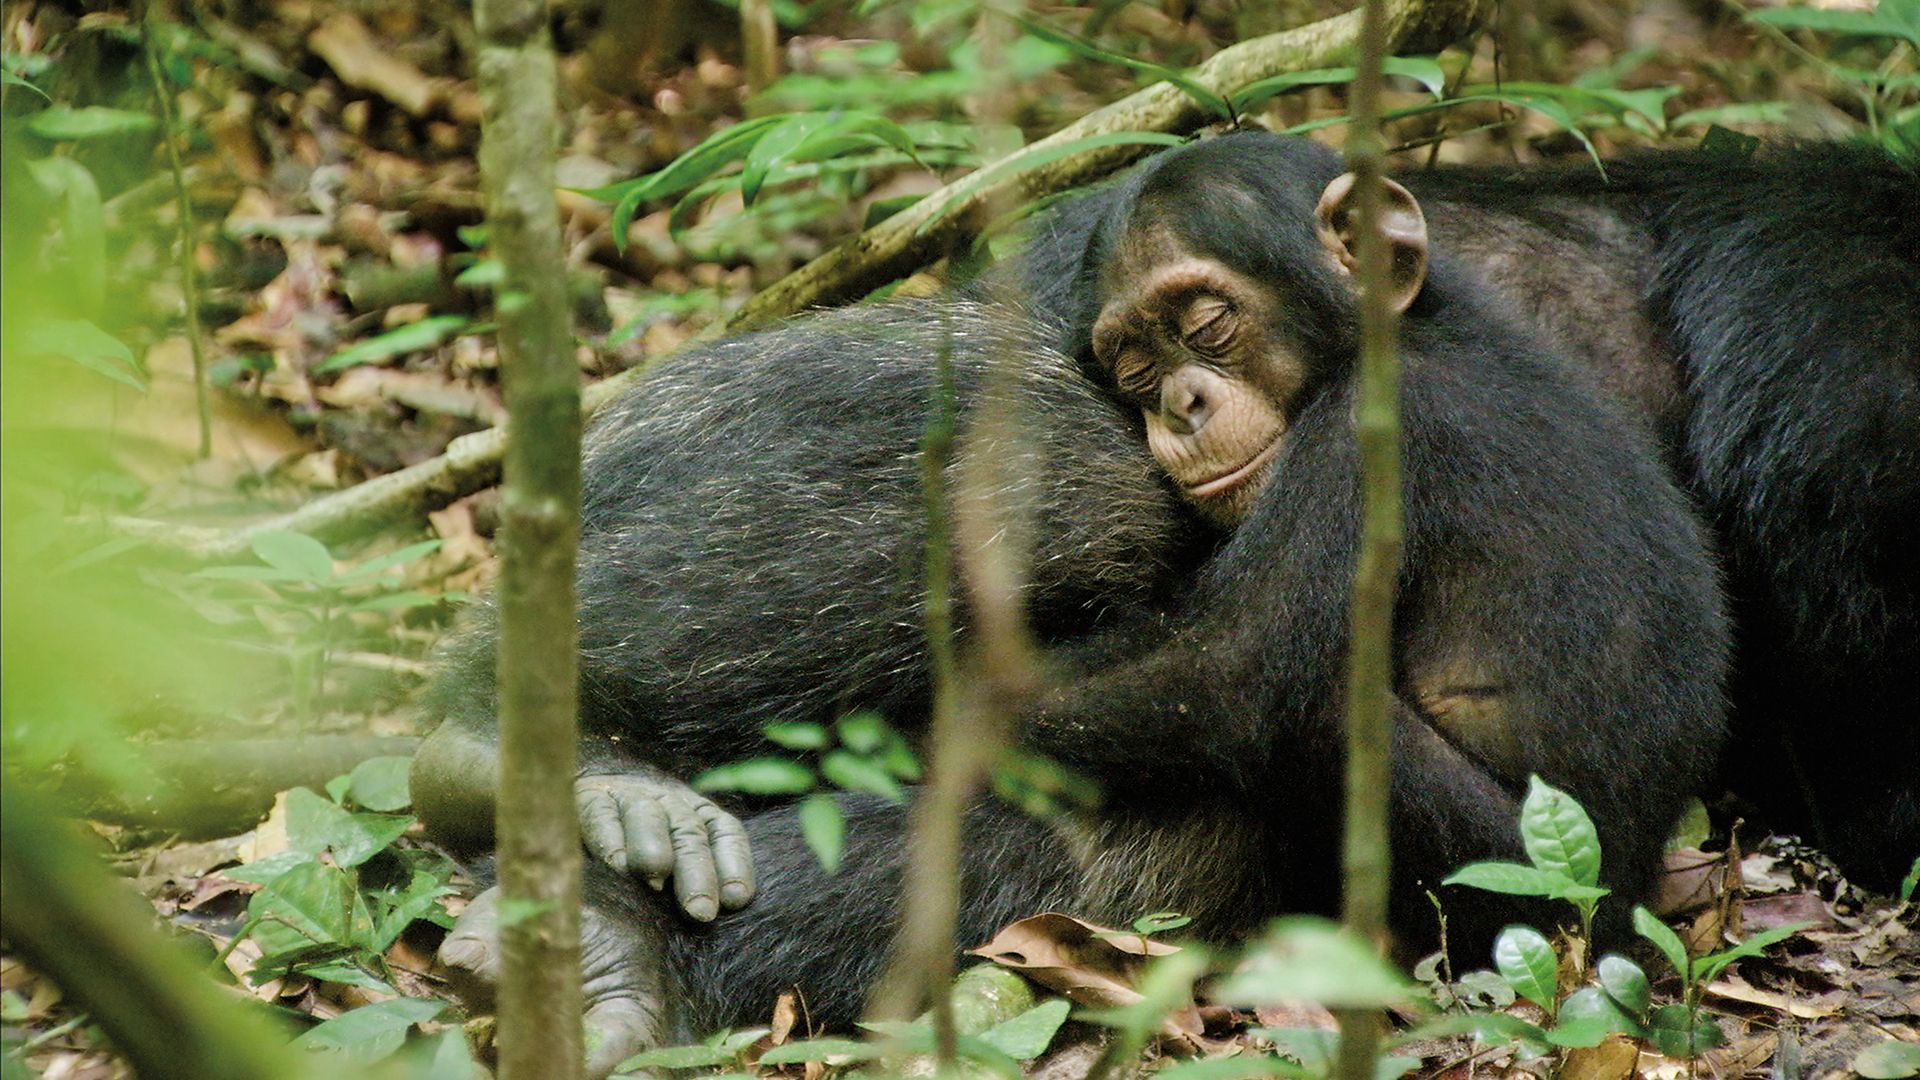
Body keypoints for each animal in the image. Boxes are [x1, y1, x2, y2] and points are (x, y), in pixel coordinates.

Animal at [1006, 132, 1920, 891]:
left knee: (1310, 703)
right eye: (1132, 364)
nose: (1179, 404)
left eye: (1205, 321)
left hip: (1515, 882)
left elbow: (1221, 665)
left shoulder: (1371, 436)